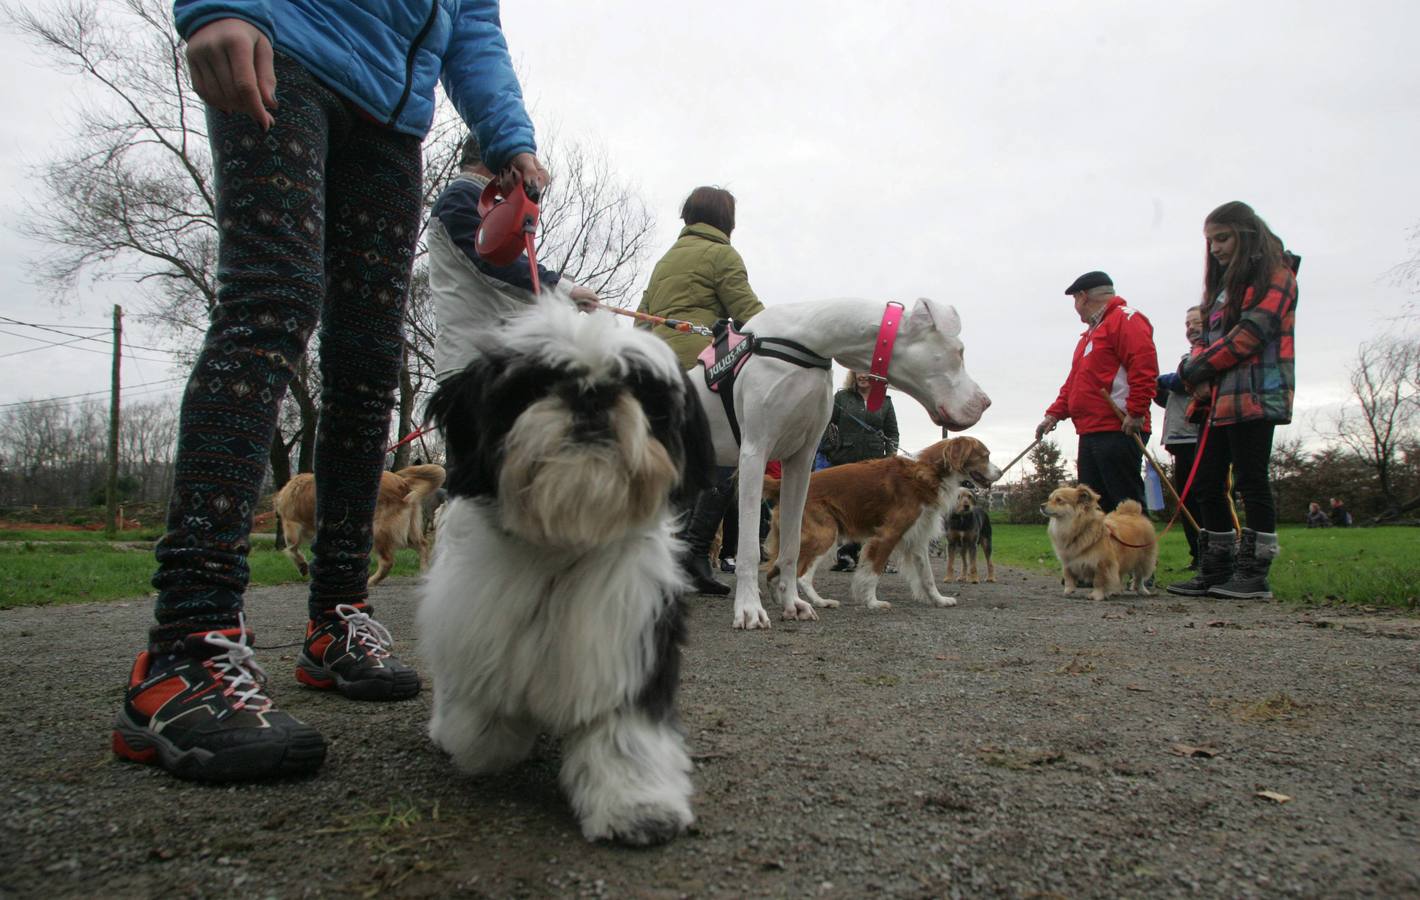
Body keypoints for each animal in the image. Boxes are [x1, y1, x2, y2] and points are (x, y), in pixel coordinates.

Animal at [274, 459, 445, 584]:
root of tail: (403, 483)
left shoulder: (291, 525)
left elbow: (292, 548)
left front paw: (302, 566)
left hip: (378, 530)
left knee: (388, 562)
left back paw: (372, 581)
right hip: (407, 530)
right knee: (423, 545)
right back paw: (425, 573)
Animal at [417, 298, 710, 846]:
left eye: (638, 390)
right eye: (537, 384)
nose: (591, 395)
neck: (562, 543)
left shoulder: (627, 643)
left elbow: (624, 734)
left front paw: (637, 805)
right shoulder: (475, 621)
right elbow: (485, 716)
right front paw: (484, 741)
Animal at [766, 434, 999, 610]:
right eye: (985, 456)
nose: (1000, 472)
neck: (929, 472)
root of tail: (779, 484)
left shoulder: (917, 539)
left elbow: (928, 576)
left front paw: (939, 600)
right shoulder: (888, 534)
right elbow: (874, 571)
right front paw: (873, 602)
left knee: (775, 571)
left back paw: (784, 601)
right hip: (825, 535)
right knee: (801, 576)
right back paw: (820, 602)